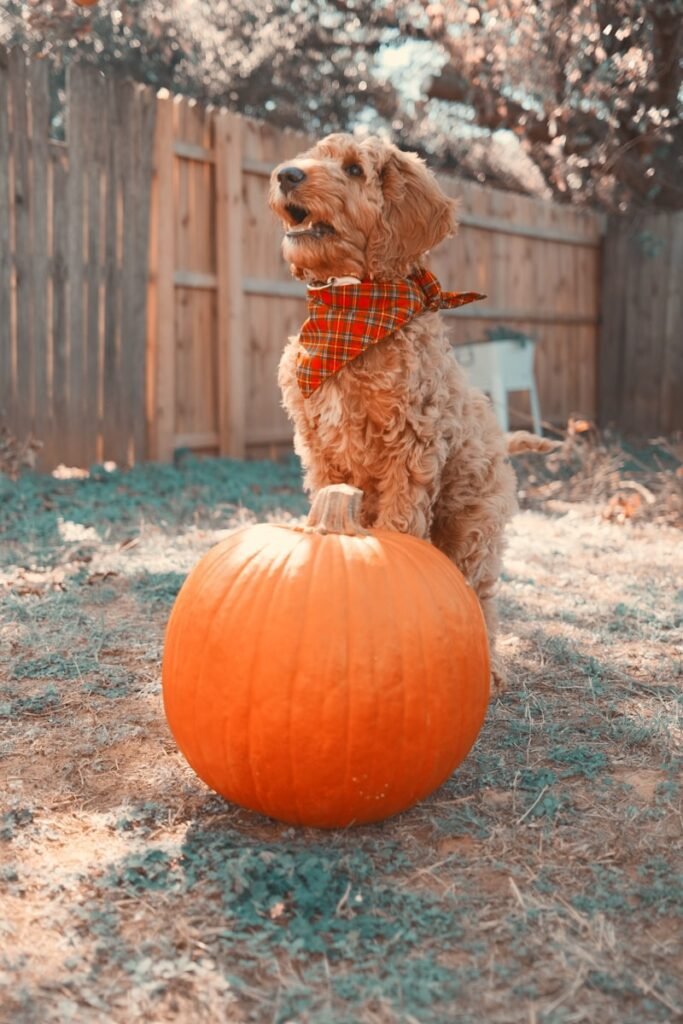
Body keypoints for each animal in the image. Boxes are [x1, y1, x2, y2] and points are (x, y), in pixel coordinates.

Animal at [270, 132, 552, 696]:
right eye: (311, 156)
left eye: (354, 170)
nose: (286, 174)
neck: (351, 313)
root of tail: (500, 441)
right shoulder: (319, 450)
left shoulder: (410, 447)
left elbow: (399, 525)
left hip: (473, 528)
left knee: (480, 595)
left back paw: (488, 668)